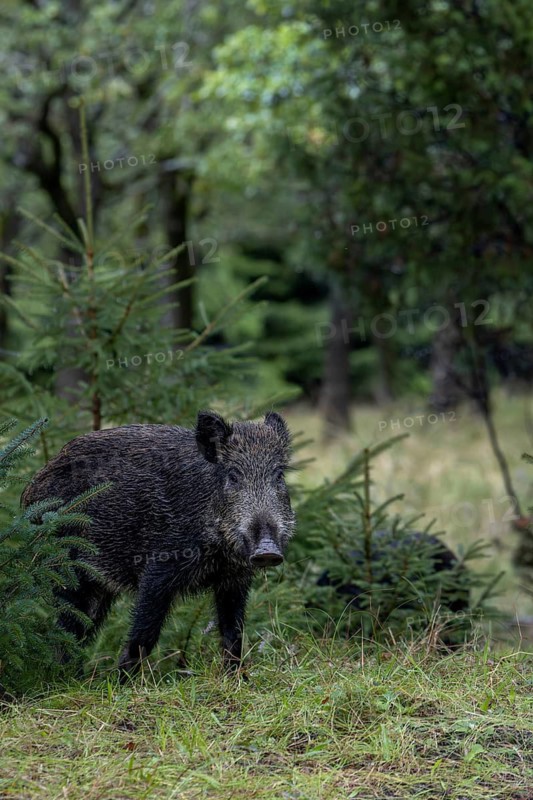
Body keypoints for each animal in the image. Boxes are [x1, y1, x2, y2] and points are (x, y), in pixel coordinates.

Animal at [21, 411, 295, 680]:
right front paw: (124, 684)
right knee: (66, 630)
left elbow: (233, 633)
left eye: (279, 475)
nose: (267, 551)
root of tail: (30, 493)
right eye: (233, 475)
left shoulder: (234, 578)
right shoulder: (158, 570)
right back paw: (70, 679)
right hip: (65, 569)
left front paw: (237, 680)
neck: (218, 550)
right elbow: (144, 634)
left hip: (97, 583)